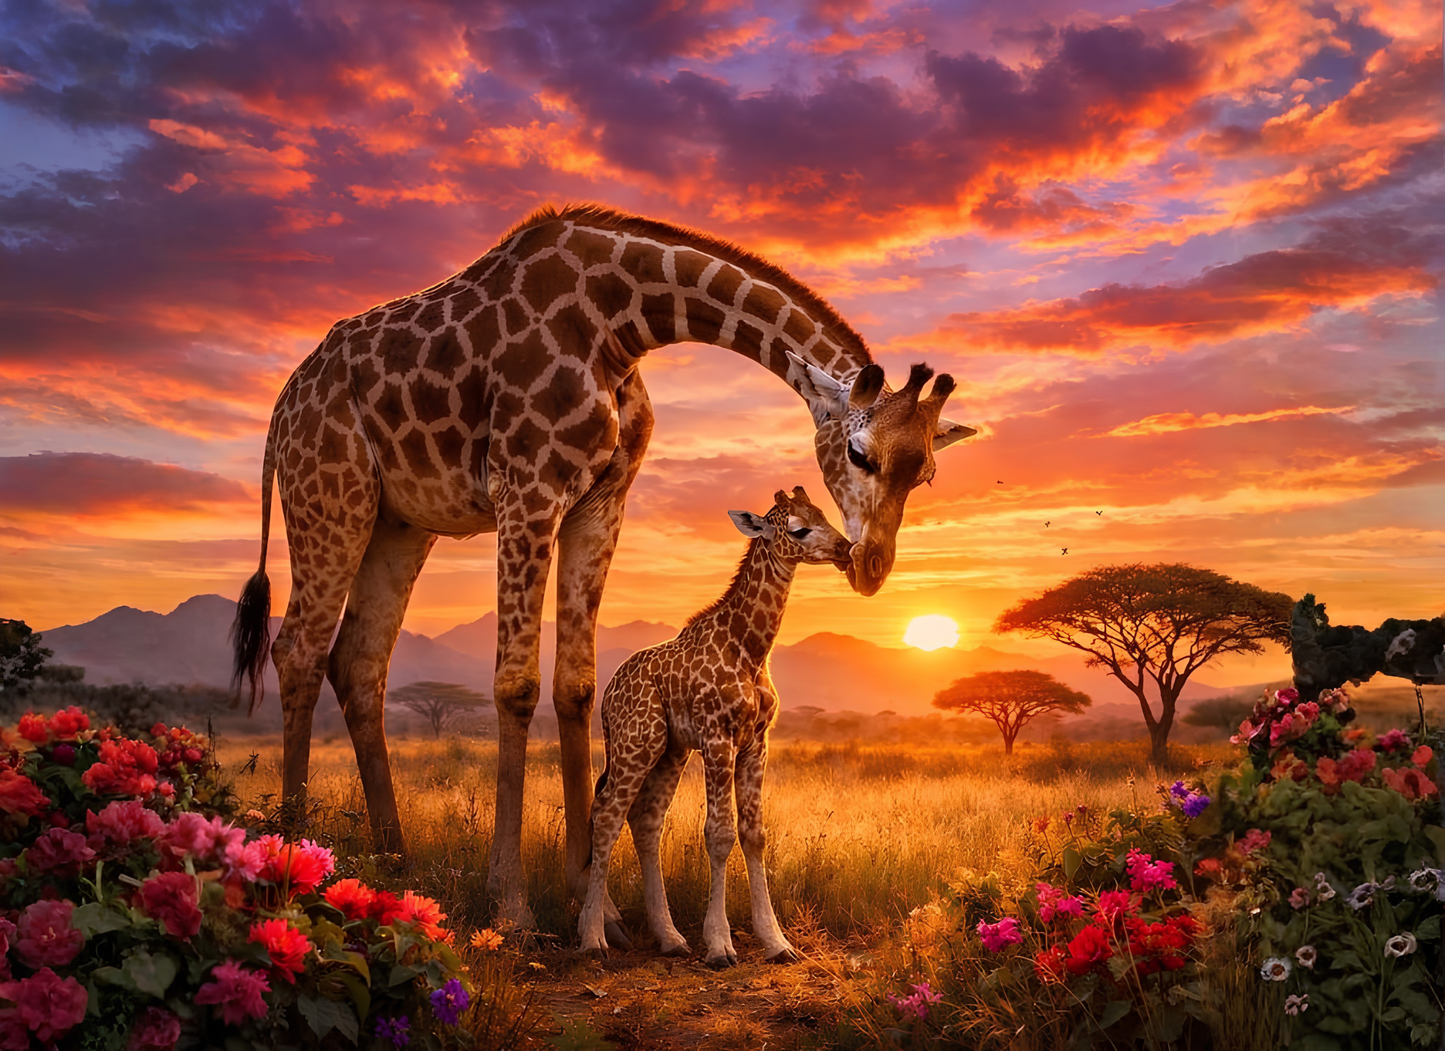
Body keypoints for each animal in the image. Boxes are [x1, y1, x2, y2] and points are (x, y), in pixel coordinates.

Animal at [579, 487, 852, 966]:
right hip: (638, 740)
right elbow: (719, 834)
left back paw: (669, 937)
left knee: (646, 820)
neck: (750, 649)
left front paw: (777, 942)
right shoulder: (717, 736)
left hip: (670, 750)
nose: (845, 549)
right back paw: (593, 936)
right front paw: (720, 945)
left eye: (824, 514)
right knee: (608, 812)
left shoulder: (757, 742)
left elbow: (755, 834)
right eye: (799, 528)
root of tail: (608, 695)